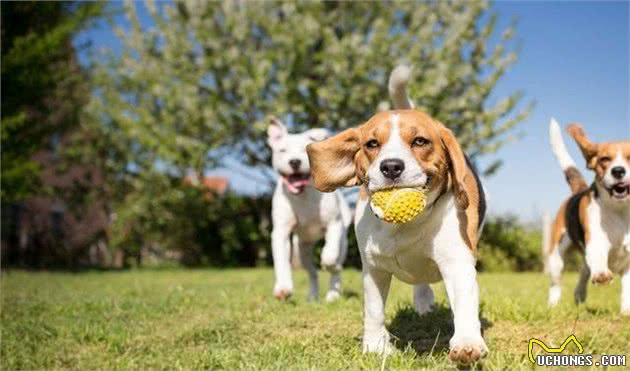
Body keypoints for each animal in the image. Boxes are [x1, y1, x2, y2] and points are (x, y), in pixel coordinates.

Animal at [268, 116, 356, 302]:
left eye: (304, 149)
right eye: (282, 150)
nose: (294, 161)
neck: (303, 195)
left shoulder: (334, 224)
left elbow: (329, 256)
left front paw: (328, 263)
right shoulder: (281, 232)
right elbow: (281, 261)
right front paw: (283, 288)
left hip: (343, 242)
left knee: (336, 265)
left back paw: (332, 294)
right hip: (302, 250)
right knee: (312, 273)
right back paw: (313, 296)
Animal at [306, 65, 488, 364]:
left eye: (420, 141)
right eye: (371, 144)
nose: (391, 166)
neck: (405, 226)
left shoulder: (457, 263)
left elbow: (463, 305)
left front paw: (467, 344)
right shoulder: (373, 268)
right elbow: (373, 310)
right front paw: (375, 347)